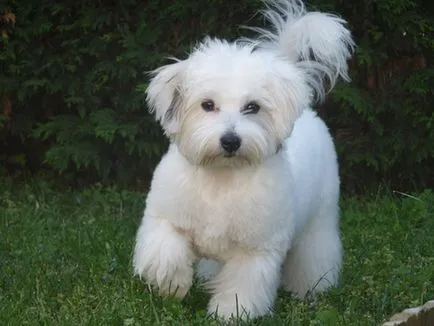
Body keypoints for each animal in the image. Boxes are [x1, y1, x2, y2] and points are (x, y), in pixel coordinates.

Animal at [134, 0, 354, 320]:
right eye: (207, 105)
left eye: (252, 107)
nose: (230, 141)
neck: (221, 177)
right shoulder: (166, 218)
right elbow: (166, 249)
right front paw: (172, 283)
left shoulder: (254, 251)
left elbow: (242, 285)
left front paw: (230, 314)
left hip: (319, 220)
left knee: (314, 253)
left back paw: (311, 289)